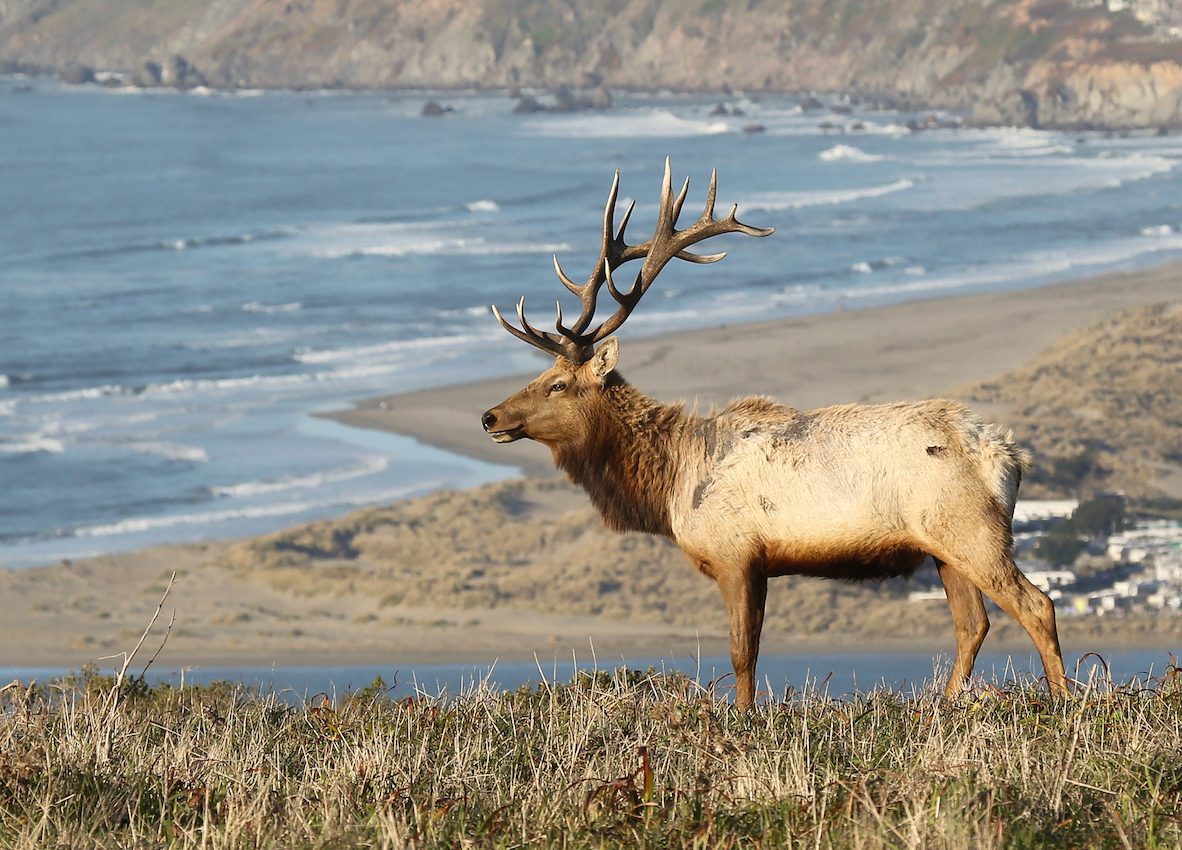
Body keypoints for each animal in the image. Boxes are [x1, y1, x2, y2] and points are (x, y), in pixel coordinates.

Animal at [480, 160, 1068, 710]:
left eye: (557, 384)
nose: (489, 417)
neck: (670, 484)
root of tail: (1009, 458)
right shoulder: (759, 563)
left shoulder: (737, 554)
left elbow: (743, 652)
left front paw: (742, 718)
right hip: (943, 547)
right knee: (973, 623)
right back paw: (945, 705)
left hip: (972, 530)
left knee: (1037, 604)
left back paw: (1065, 700)